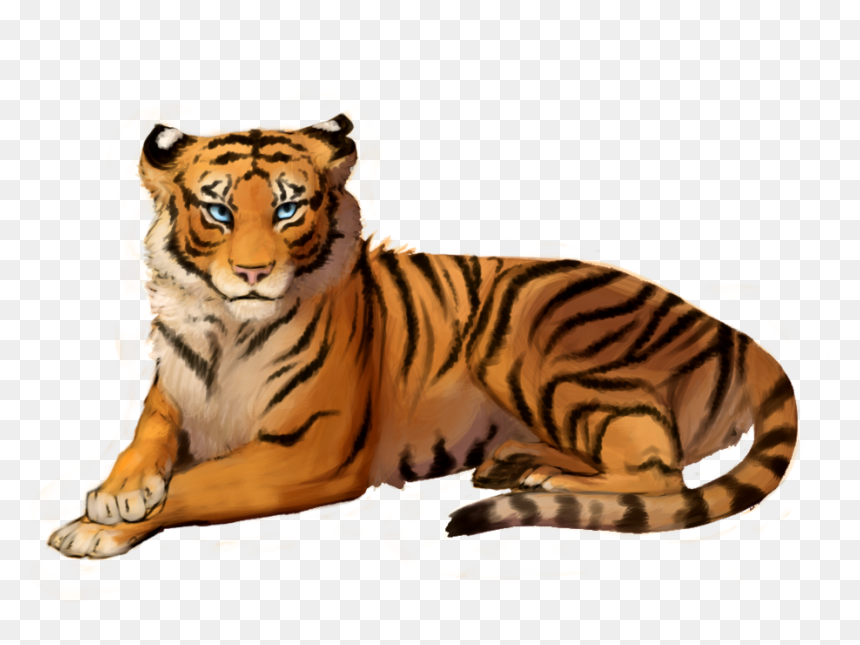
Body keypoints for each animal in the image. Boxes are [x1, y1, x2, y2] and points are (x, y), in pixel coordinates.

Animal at [48, 114, 798, 559]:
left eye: (289, 208)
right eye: (219, 209)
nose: (255, 272)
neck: (224, 326)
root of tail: (731, 330)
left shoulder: (312, 448)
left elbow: (196, 484)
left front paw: (94, 525)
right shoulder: (170, 399)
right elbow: (144, 444)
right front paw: (118, 491)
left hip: (529, 341)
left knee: (659, 471)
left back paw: (542, 472)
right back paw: (515, 461)